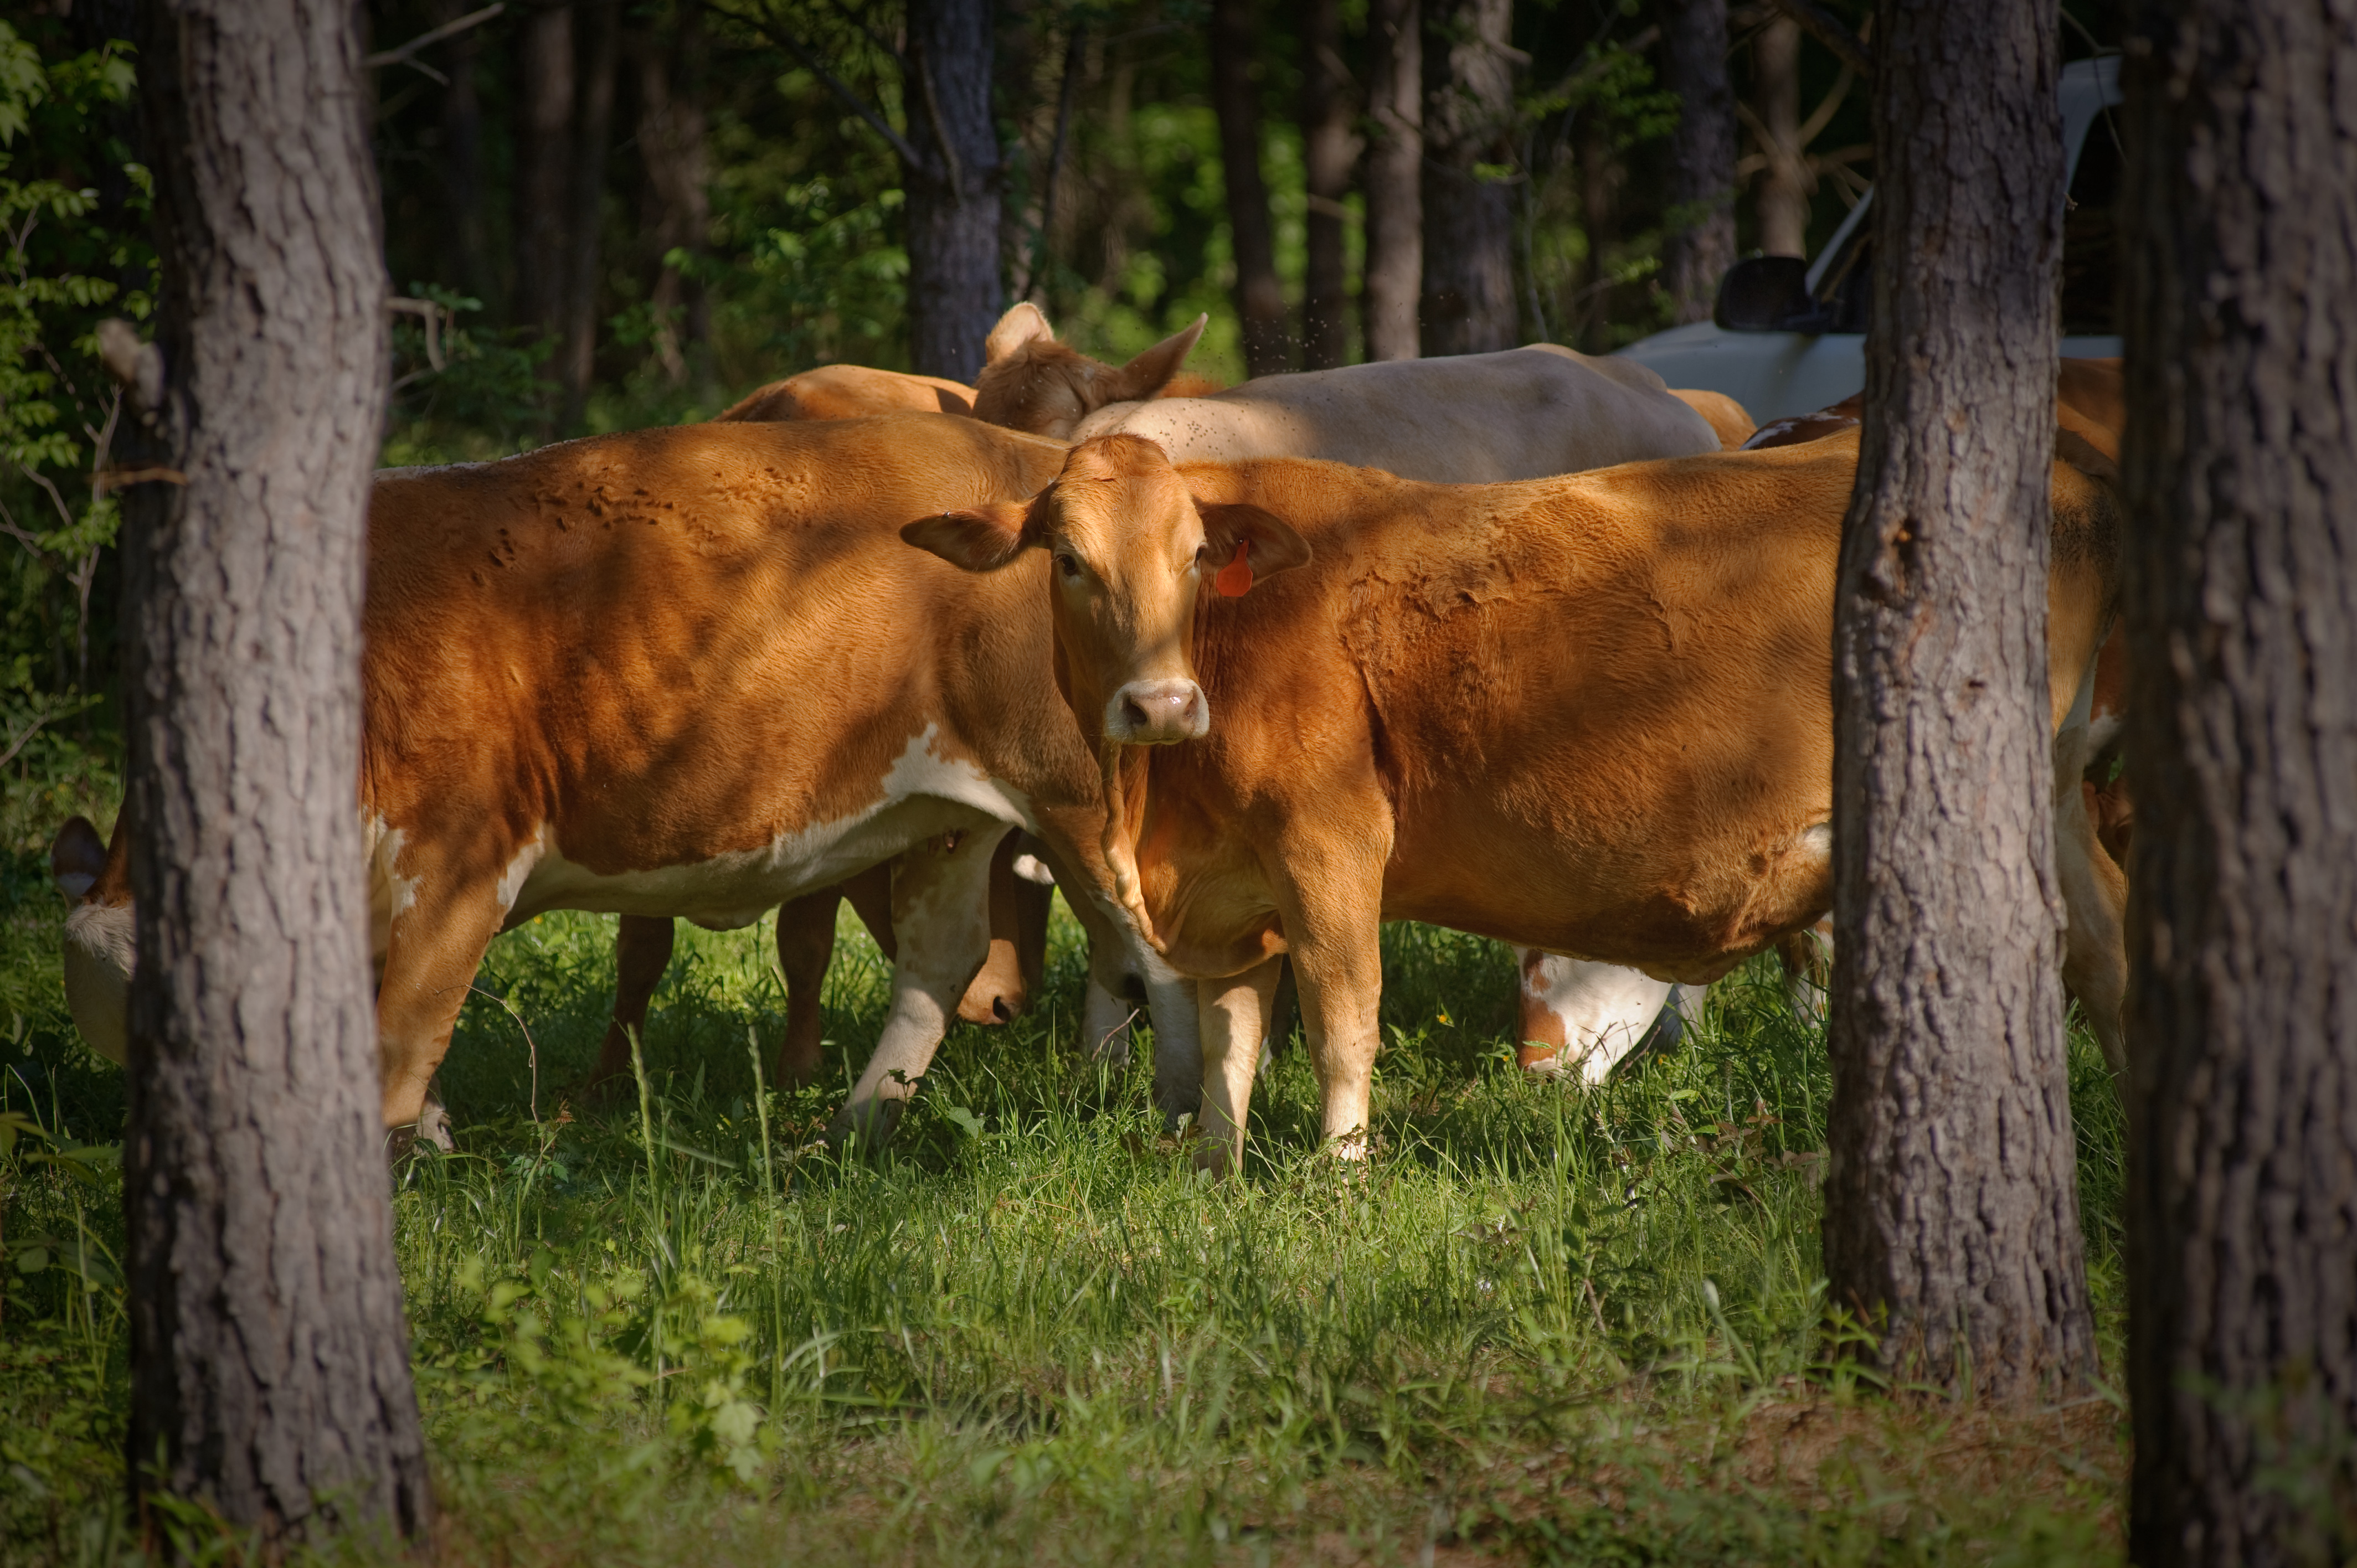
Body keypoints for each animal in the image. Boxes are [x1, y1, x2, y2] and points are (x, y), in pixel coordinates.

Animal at [55, 412, 1197, 1151]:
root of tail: (1031, 462)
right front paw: (433, 1148)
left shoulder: (460, 865)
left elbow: (398, 1052)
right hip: (951, 811)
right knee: (942, 959)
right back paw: (855, 1126)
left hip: (1071, 792)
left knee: (1153, 946)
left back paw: (1190, 1123)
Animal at [900, 422, 2121, 1169]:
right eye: (1067, 560)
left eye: (1197, 555)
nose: (1159, 703)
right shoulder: (1230, 895)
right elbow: (1229, 1040)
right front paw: (1214, 1175)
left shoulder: (1330, 847)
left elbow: (1342, 1022)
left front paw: (1339, 1176)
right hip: (2057, 799)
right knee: (2105, 941)